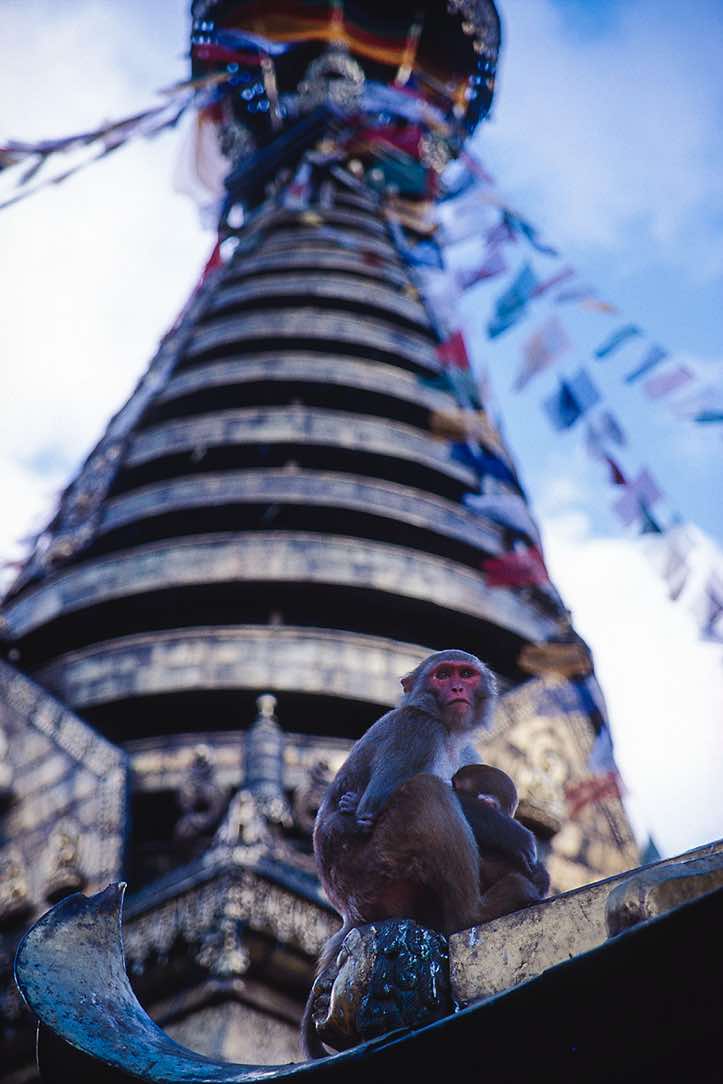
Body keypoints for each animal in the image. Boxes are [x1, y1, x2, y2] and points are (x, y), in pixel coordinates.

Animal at [301, 649, 496, 1058]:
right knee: (425, 792)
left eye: (465, 674)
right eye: (443, 675)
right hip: (371, 875)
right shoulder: (417, 731)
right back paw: (473, 914)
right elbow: (370, 809)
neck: (446, 729)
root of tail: (348, 912)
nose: (457, 689)